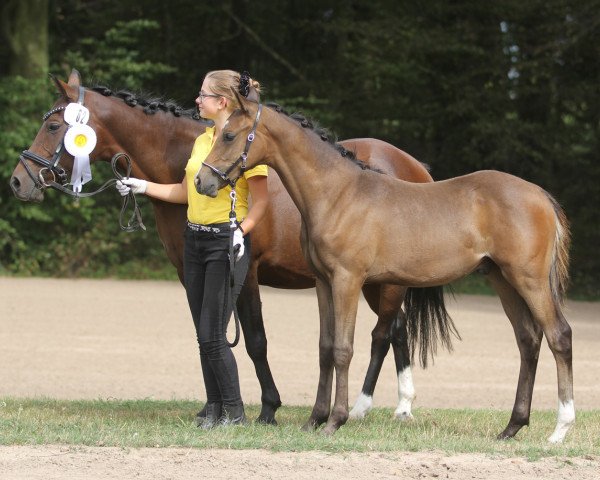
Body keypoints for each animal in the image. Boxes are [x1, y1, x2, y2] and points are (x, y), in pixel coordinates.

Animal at [10, 70, 450, 424]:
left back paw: (367, 407)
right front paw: (213, 409)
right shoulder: (190, 272)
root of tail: (415, 167)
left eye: (54, 126)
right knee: (398, 331)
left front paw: (269, 408)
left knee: (383, 333)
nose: (19, 181)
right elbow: (207, 334)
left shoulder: (246, 271)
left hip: (382, 283)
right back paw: (400, 406)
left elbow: (254, 340)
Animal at [198, 93, 576, 442]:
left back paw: (560, 429)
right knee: (528, 339)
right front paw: (315, 419)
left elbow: (343, 349)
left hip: (529, 280)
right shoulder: (323, 282)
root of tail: (541, 196)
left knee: (559, 335)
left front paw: (335, 420)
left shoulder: (347, 280)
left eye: (229, 135)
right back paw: (512, 427)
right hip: (502, 280)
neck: (338, 194)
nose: (203, 182)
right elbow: (324, 347)